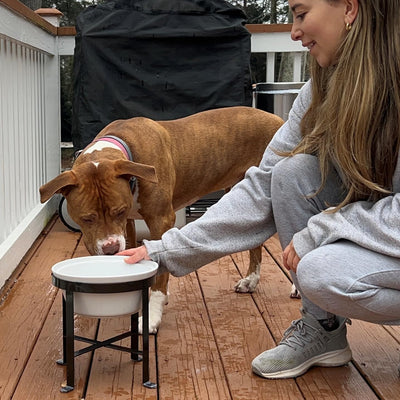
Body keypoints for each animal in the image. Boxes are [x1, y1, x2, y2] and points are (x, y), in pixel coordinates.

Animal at [39, 104, 284, 332]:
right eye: (87, 218)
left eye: (118, 211)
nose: (110, 249)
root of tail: (278, 118)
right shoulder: (128, 224)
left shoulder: (160, 220)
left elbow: (160, 272)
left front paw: (152, 315)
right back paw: (251, 280)